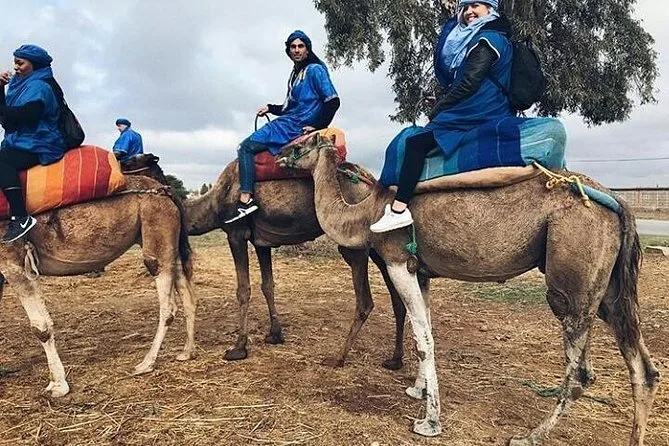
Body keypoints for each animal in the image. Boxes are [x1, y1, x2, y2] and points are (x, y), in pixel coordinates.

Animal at [0, 175, 197, 397]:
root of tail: (165, 191)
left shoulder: (12, 261)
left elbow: (41, 327)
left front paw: (58, 385)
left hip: (157, 232)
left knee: (167, 304)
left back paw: (146, 363)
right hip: (168, 242)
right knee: (188, 295)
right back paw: (187, 352)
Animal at [122, 153, 407, 369]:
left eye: (129, 159)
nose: (115, 160)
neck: (213, 203)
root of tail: (371, 182)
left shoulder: (236, 233)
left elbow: (243, 289)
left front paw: (238, 348)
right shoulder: (262, 242)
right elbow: (267, 285)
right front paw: (274, 334)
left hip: (352, 243)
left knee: (365, 300)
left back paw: (339, 358)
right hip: (379, 242)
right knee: (397, 295)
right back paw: (394, 360)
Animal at [276, 133, 660, 446]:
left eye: (300, 144)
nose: (277, 154)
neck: (365, 212)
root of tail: (618, 203)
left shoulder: (398, 260)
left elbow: (424, 340)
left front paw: (429, 422)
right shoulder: (421, 271)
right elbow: (426, 331)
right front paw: (417, 389)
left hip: (573, 280)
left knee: (580, 368)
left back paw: (528, 436)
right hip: (609, 289)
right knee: (643, 367)